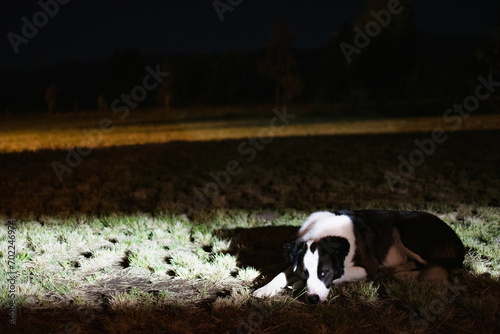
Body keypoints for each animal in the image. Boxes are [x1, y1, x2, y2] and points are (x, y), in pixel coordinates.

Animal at [252, 210, 466, 304]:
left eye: (324, 273)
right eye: (305, 273)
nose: (312, 299)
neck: (324, 234)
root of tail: (458, 242)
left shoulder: (367, 267)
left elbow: (342, 273)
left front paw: (296, 285)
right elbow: (282, 273)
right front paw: (265, 289)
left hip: (407, 227)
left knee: (430, 265)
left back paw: (403, 275)